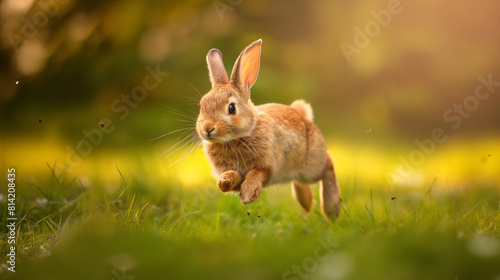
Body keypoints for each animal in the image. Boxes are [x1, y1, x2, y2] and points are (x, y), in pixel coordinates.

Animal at [194, 38, 340, 219]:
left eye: (231, 108)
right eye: (202, 106)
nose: (207, 128)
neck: (236, 138)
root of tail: (302, 116)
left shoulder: (268, 165)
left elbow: (256, 174)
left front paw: (248, 195)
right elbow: (233, 176)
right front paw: (224, 182)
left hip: (311, 166)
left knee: (328, 164)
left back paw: (332, 211)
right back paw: (306, 203)